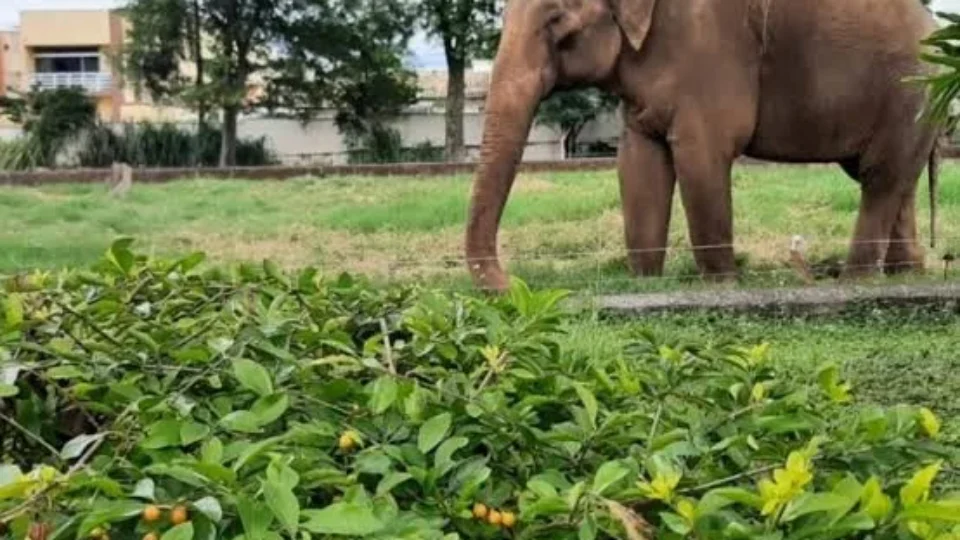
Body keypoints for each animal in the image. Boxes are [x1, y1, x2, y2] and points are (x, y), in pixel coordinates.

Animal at [464, 0, 944, 292]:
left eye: (557, 20)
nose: (514, 285)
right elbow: (638, 166)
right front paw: (646, 286)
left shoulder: (708, 51)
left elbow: (701, 159)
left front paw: (723, 286)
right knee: (891, 180)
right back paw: (906, 275)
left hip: (909, 91)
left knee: (880, 179)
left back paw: (855, 282)